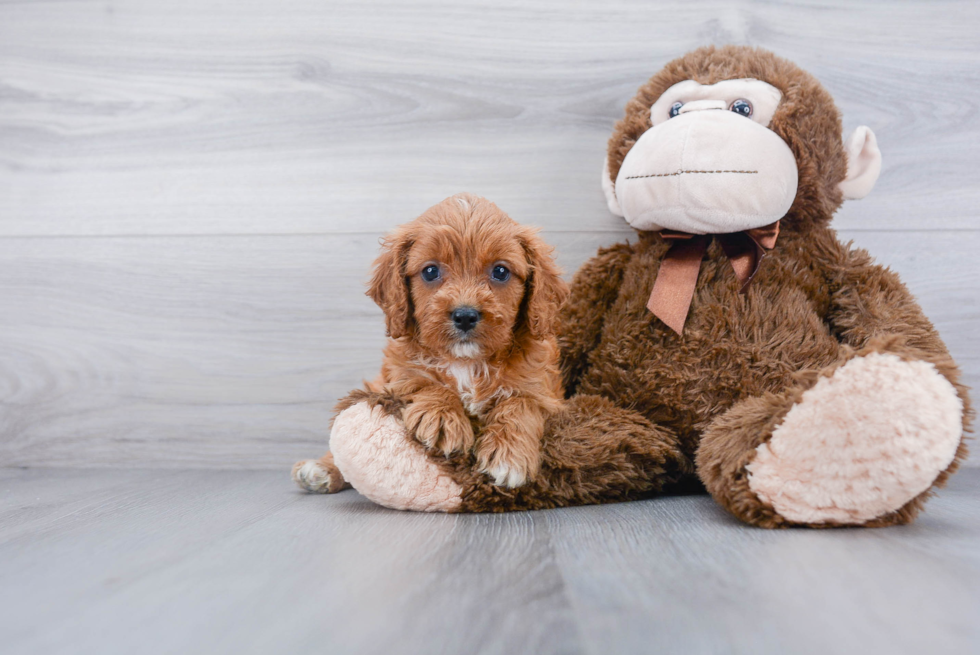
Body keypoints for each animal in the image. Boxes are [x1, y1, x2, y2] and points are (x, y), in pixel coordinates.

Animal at [292, 195, 568, 492]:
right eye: (431, 271)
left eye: (501, 271)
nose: (465, 315)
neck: (466, 362)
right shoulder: (397, 375)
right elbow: (423, 381)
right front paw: (443, 418)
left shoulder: (543, 392)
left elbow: (520, 404)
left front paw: (509, 455)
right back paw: (321, 468)